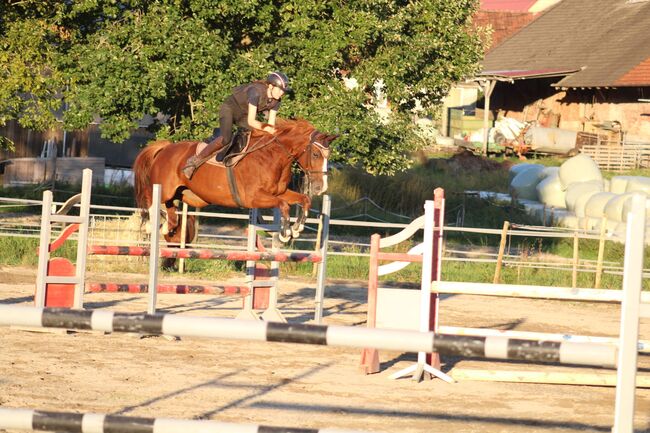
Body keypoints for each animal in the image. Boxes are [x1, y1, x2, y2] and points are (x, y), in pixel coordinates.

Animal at [134, 116, 336, 241]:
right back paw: (150, 225)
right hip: (164, 189)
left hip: (179, 193)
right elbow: (284, 205)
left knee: (171, 216)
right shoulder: (253, 198)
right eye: (316, 154)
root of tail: (165, 148)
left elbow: (304, 199)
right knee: (151, 201)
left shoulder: (280, 192)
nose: (321, 188)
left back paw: (164, 227)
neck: (272, 157)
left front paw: (297, 228)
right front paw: (285, 232)